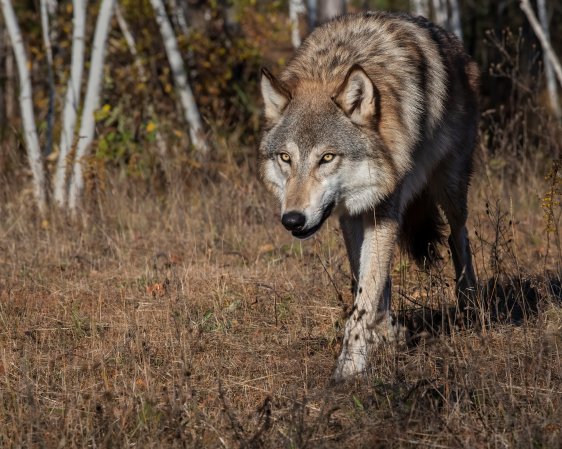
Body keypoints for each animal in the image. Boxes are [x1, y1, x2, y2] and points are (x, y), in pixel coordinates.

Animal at [258, 11, 476, 382]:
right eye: (286, 158)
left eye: (327, 157)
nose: (292, 220)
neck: (333, 67)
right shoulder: (351, 213)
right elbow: (369, 283)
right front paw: (385, 335)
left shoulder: (384, 210)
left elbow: (364, 299)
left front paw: (350, 366)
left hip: (450, 187)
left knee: (458, 237)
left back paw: (470, 304)